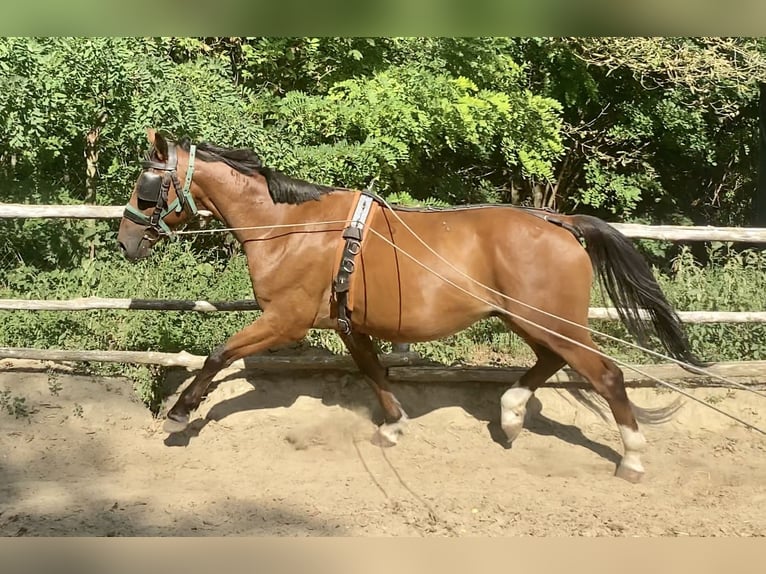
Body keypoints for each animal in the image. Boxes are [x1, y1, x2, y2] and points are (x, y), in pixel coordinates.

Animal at [115, 129, 704, 482]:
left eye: (147, 186)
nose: (125, 240)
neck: (291, 228)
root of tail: (560, 222)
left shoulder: (285, 320)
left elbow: (219, 355)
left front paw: (181, 412)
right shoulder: (348, 324)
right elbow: (373, 370)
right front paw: (393, 426)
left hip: (550, 321)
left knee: (605, 375)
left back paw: (631, 457)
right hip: (528, 319)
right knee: (551, 363)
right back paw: (511, 414)